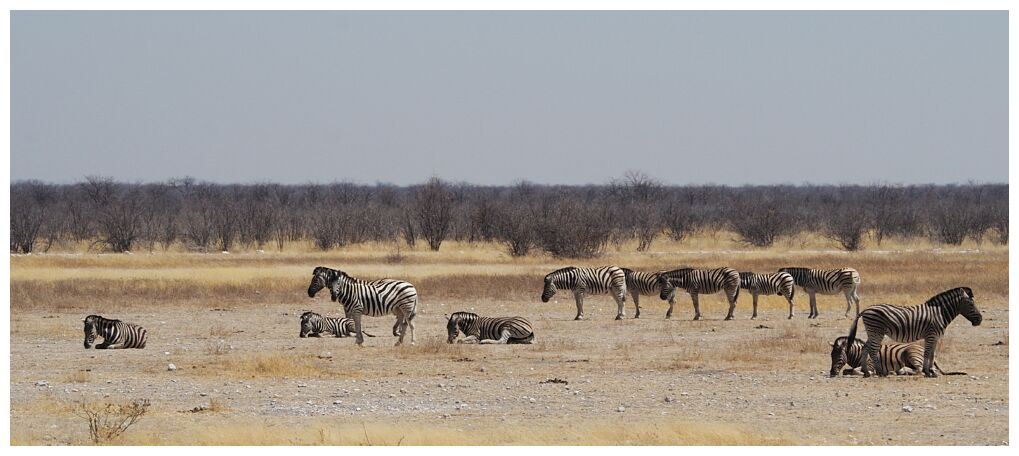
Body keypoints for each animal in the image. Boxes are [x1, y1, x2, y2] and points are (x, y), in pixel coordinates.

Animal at [827, 334, 961, 379]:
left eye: (839, 357)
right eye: (831, 356)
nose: (832, 373)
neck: (859, 354)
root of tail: (922, 348)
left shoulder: (870, 365)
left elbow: (856, 370)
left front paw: (869, 373)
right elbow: (846, 370)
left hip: (911, 353)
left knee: (919, 370)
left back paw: (899, 371)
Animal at [843, 289, 978, 379]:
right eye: (971, 304)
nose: (980, 320)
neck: (939, 313)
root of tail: (866, 310)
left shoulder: (935, 336)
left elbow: (932, 353)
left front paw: (931, 371)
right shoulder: (931, 334)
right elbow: (927, 353)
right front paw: (928, 372)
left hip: (872, 332)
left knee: (866, 348)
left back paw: (866, 372)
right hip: (877, 331)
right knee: (873, 349)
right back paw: (881, 372)